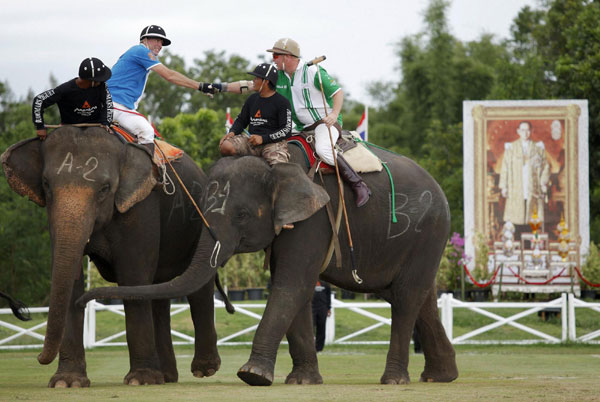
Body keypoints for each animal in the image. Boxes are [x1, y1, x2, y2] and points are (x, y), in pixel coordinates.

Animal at [0, 127, 220, 388]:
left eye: (105, 188)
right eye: (46, 185)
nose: (38, 358)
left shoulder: (140, 206)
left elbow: (133, 276)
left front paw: (141, 380)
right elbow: (71, 278)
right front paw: (67, 382)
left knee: (197, 287)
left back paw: (204, 370)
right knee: (158, 291)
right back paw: (166, 377)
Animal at [77, 144, 458, 386]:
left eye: (242, 215)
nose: (80, 299)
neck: (276, 164)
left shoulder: (315, 219)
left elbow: (292, 283)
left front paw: (252, 376)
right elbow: (295, 289)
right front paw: (302, 382)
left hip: (429, 231)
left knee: (406, 298)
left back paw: (394, 380)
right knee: (419, 297)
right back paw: (440, 377)